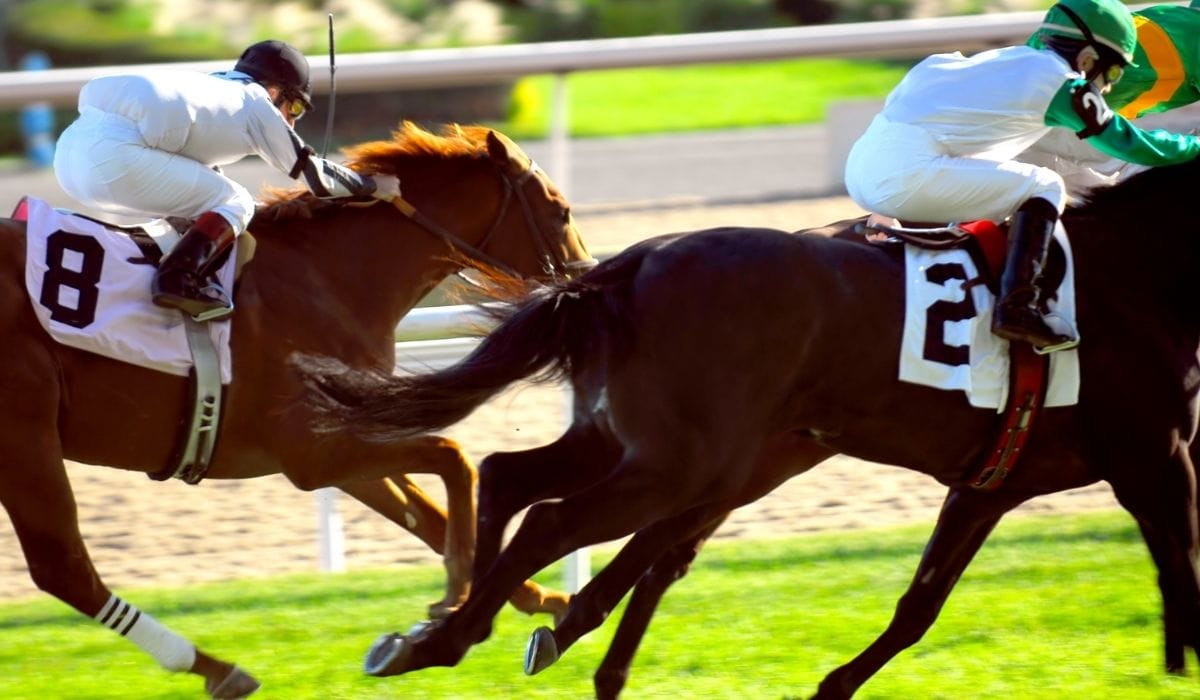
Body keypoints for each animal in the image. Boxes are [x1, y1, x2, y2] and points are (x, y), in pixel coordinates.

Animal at [0, 122, 593, 698]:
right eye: (561, 210)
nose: (584, 279)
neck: (331, 276)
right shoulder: (312, 451)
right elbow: (454, 459)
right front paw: (453, 596)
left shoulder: (341, 444)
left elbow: (424, 513)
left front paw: (546, 602)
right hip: (26, 439)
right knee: (64, 567)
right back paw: (214, 668)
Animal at [296, 155, 1200, 698]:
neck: (1134, 271)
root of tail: (627, 267)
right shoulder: (1156, 457)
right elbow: (1185, 570)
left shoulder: (991, 483)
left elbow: (920, 606)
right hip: (683, 459)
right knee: (557, 518)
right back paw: (460, 635)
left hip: (640, 443)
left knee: (514, 477)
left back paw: (446, 629)